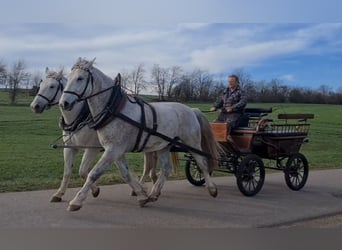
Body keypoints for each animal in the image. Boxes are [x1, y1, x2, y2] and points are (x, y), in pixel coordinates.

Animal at [30, 68, 101, 201]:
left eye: (52, 86)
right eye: (41, 85)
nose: (34, 106)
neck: (79, 117)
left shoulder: (92, 148)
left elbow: (83, 171)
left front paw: (95, 190)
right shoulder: (69, 148)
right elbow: (67, 172)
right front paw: (59, 193)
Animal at [59, 58, 219, 211]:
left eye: (80, 78)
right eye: (68, 78)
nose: (64, 103)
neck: (114, 110)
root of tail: (191, 109)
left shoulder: (113, 149)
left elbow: (94, 173)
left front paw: (76, 201)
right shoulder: (116, 151)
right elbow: (125, 173)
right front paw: (142, 195)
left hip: (192, 143)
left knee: (202, 163)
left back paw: (212, 189)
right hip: (163, 146)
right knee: (166, 168)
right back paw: (154, 193)